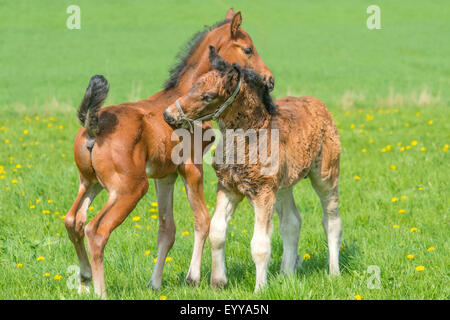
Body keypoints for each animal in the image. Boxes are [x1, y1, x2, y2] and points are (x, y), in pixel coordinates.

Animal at [64, 8, 272, 298]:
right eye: (248, 49)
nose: (269, 78)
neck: (182, 96)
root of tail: (93, 124)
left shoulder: (164, 177)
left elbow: (166, 230)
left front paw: (155, 283)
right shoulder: (191, 168)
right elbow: (202, 219)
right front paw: (193, 277)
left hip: (90, 183)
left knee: (74, 220)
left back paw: (83, 279)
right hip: (129, 189)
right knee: (96, 230)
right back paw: (100, 290)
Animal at [163, 46, 342, 292]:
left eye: (208, 96)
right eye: (194, 86)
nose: (168, 114)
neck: (250, 136)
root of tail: (319, 104)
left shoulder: (262, 192)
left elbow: (260, 244)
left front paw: (260, 288)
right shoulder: (228, 187)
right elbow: (217, 231)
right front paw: (218, 282)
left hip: (325, 176)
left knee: (331, 220)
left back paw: (334, 273)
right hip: (282, 186)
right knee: (291, 222)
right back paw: (286, 275)